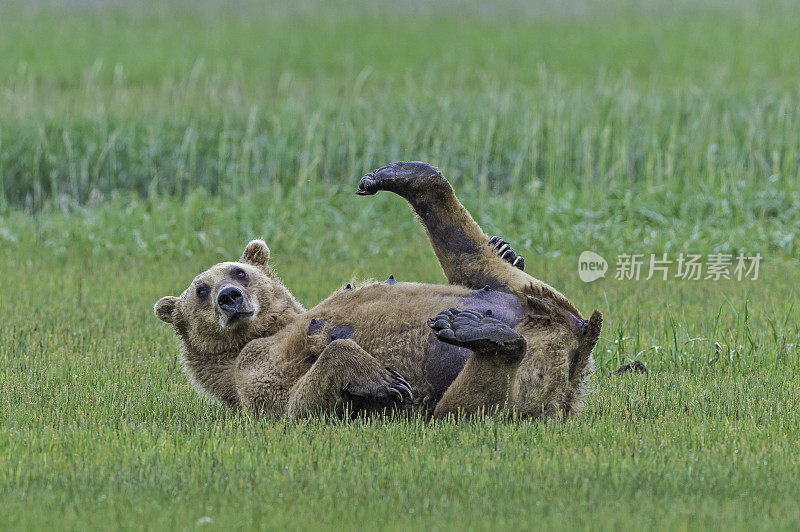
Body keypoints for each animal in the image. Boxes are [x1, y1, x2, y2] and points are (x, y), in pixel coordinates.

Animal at [155, 162, 600, 420]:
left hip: (520, 291)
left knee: (474, 257)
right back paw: (478, 331)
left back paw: (402, 175)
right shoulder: (250, 371)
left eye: (239, 271)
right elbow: (297, 404)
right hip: (488, 399)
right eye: (200, 290)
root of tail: (575, 350)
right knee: (484, 390)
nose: (228, 296)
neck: (271, 328)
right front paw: (381, 379)